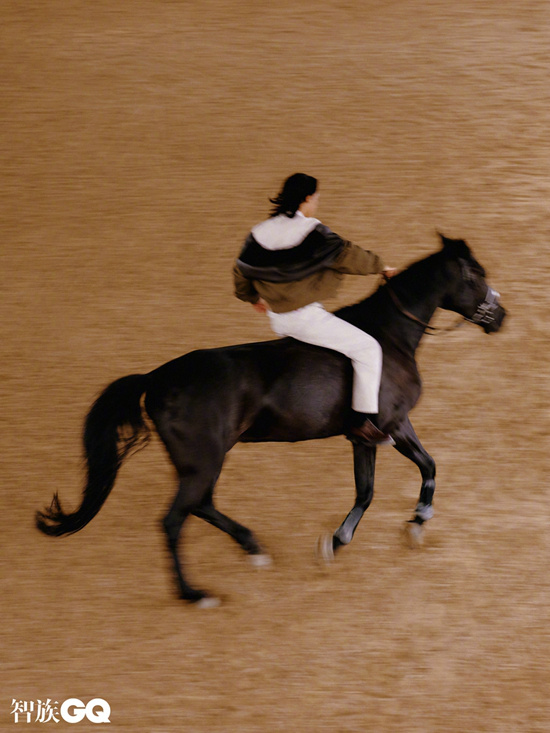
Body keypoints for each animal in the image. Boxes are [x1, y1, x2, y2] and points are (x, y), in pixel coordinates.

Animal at [34, 234, 508, 608]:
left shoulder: (374, 434)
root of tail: (158, 376)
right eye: (476, 274)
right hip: (203, 459)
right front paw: (356, 537)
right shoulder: (387, 426)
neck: (389, 337)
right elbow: (388, 483)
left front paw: (394, 529)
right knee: (175, 520)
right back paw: (195, 594)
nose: (500, 317)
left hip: (204, 460)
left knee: (202, 504)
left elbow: (401, 477)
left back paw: (254, 548)